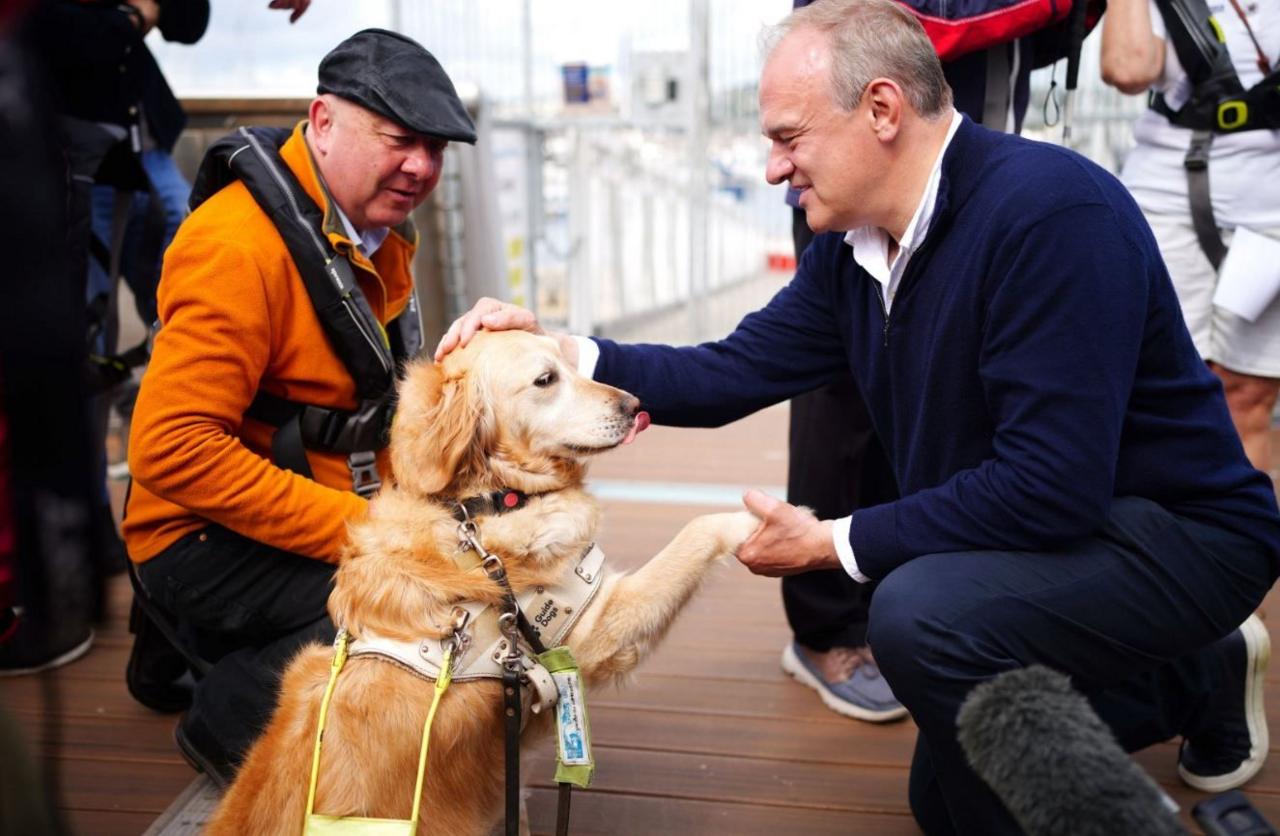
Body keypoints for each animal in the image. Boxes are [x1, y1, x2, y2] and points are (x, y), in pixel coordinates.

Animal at [204, 330, 752, 829]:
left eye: (567, 361)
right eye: (546, 379)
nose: (635, 404)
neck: (486, 502)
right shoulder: (596, 627)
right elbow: (698, 528)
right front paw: (757, 522)